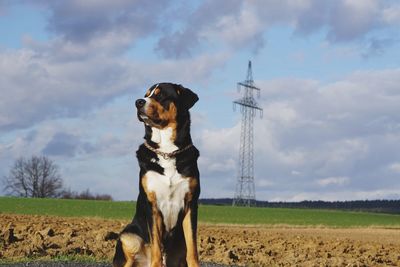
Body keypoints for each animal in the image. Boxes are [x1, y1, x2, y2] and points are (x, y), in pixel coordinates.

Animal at [112, 82, 200, 266]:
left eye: (160, 95)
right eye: (146, 95)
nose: (138, 102)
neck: (167, 151)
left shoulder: (191, 203)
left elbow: (192, 248)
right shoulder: (152, 204)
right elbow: (156, 248)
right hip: (128, 238)